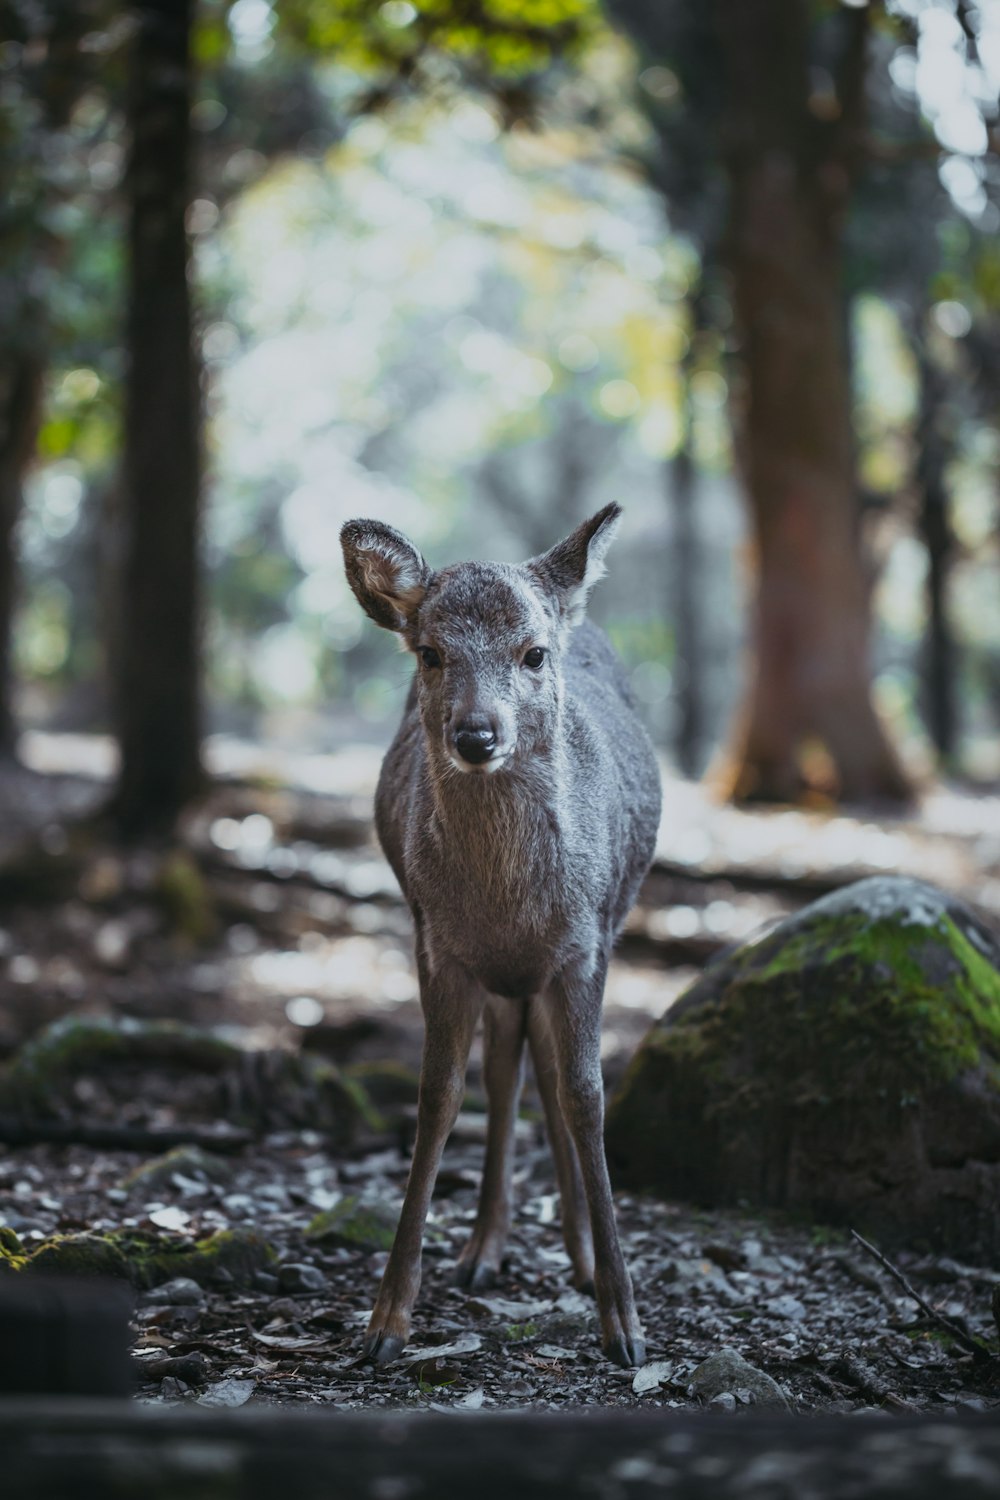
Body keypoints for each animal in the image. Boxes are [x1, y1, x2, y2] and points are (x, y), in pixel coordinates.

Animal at [340, 507, 659, 1374]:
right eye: (431, 652)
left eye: (533, 653)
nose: (477, 734)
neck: (508, 905)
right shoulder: (437, 943)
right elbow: (440, 1096)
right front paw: (386, 1321)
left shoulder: (586, 943)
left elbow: (587, 1095)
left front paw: (625, 1322)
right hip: (499, 976)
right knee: (510, 1069)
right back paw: (484, 1247)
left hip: (580, 943)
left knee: (546, 1075)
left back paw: (576, 1256)